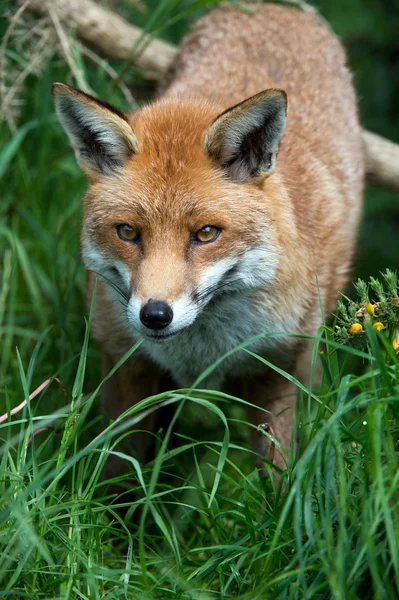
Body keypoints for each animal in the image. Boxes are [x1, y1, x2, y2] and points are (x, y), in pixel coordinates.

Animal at [52, 3, 366, 474]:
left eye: (205, 234)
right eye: (127, 232)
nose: (155, 315)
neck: (201, 354)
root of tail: (278, 10)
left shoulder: (278, 367)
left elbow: (279, 473)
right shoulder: (125, 362)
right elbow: (119, 471)